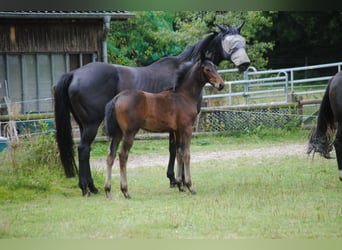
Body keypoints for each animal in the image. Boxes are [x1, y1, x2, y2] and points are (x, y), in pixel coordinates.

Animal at [105, 53, 226, 198]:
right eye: (207, 69)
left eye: (215, 67)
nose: (221, 84)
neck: (184, 96)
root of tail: (117, 98)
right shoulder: (187, 129)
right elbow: (186, 154)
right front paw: (190, 186)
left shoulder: (176, 131)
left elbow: (179, 153)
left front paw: (180, 185)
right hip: (129, 132)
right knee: (123, 156)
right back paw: (125, 191)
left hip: (117, 133)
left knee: (110, 156)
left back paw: (108, 191)